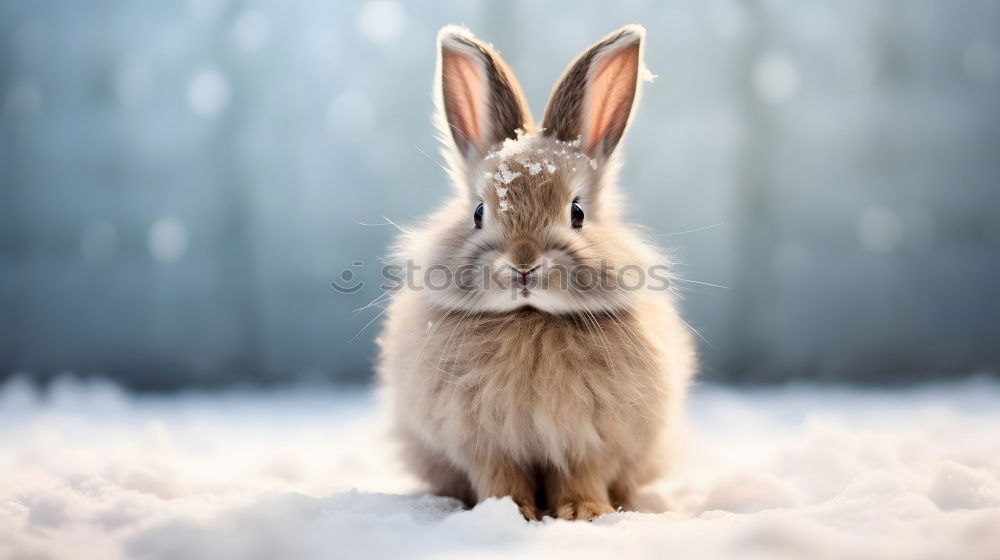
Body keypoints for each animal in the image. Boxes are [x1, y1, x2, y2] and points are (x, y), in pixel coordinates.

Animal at [376, 23, 696, 520]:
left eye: (578, 213)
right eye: (478, 212)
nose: (523, 264)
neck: (530, 318)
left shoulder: (593, 440)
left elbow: (583, 474)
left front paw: (585, 513)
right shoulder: (483, 444)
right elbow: (499, 476)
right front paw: (510, 511)